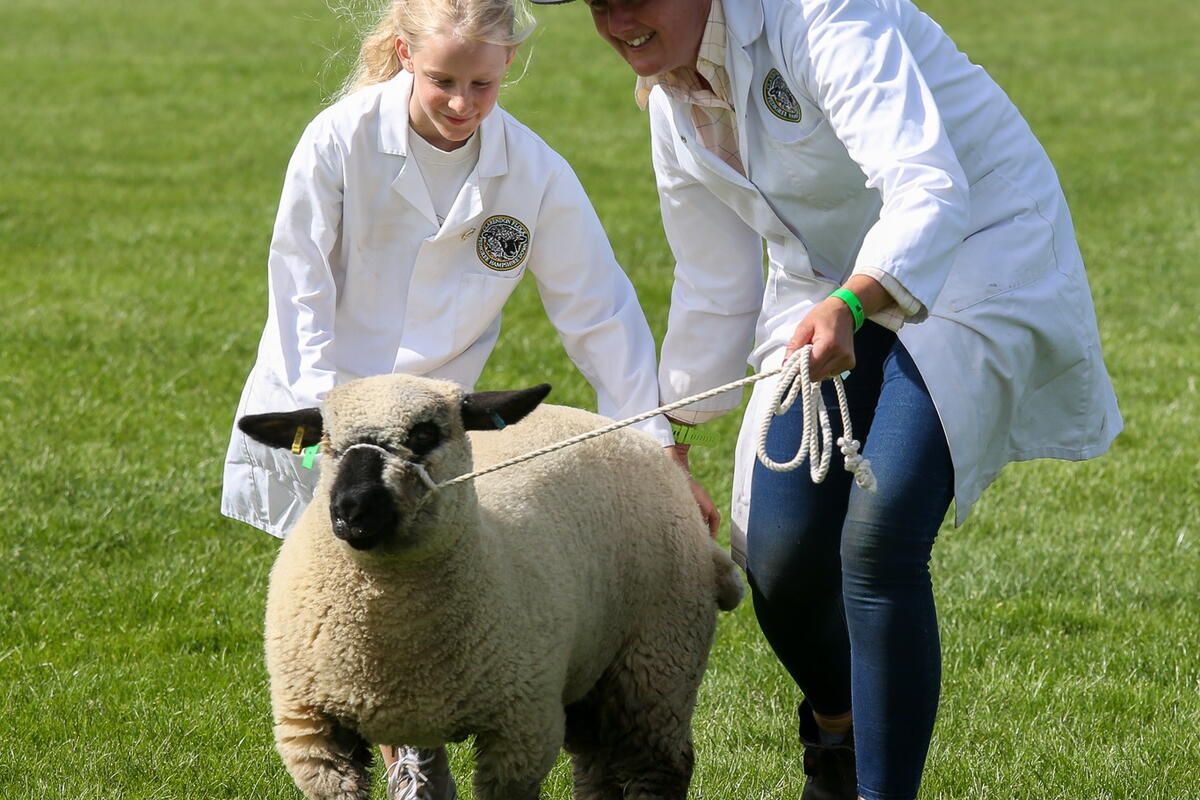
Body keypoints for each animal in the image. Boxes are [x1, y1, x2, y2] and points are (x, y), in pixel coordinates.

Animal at [237, 373, 744, 800]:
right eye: (326, 440)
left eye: (423, 434)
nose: (350, 510)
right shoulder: (314, 737)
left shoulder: (522, 729)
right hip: (592, 672)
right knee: (597, 768)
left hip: (657, 664)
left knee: (656, 766)